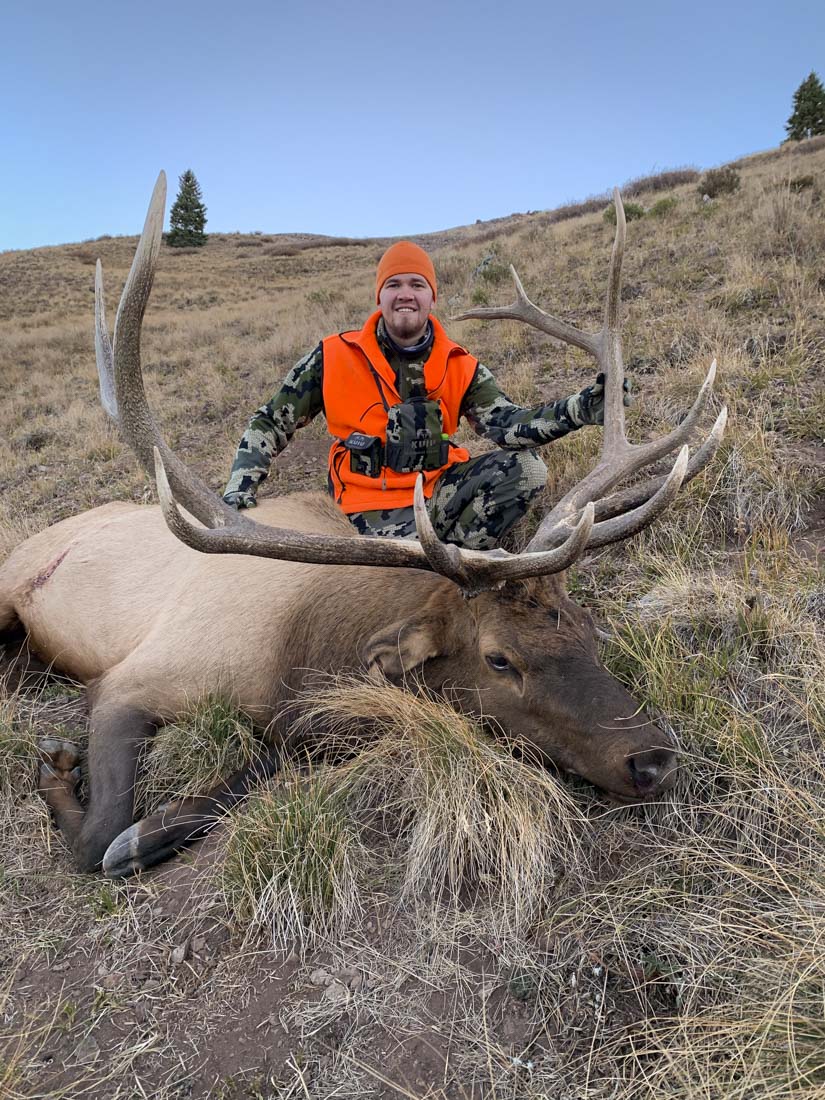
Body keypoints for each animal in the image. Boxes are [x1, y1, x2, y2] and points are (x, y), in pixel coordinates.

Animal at [0, 173, 726, 877]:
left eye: (584, 625)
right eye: (499, 658)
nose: (652, 756)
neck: (299, 649)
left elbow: (265, 764)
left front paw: (157, 825)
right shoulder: (132, 679)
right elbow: (99, 840)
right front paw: (70, 782)